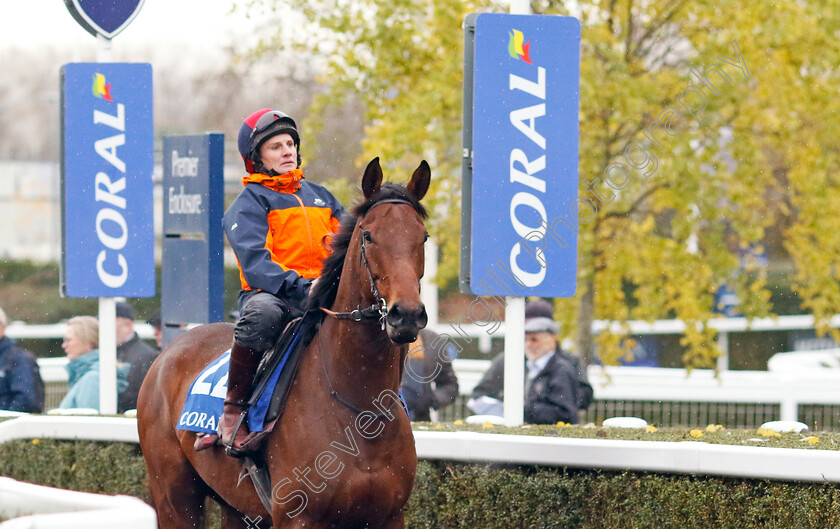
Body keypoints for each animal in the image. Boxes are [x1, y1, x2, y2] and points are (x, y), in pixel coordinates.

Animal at [139, 158, 430, 528]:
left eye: (423, 236)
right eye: (369, 235)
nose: (405, 314)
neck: (360, 410)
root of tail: (168, 353)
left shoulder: (389, 516)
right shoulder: (298, 516)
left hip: (235, 505)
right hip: (174, 495)